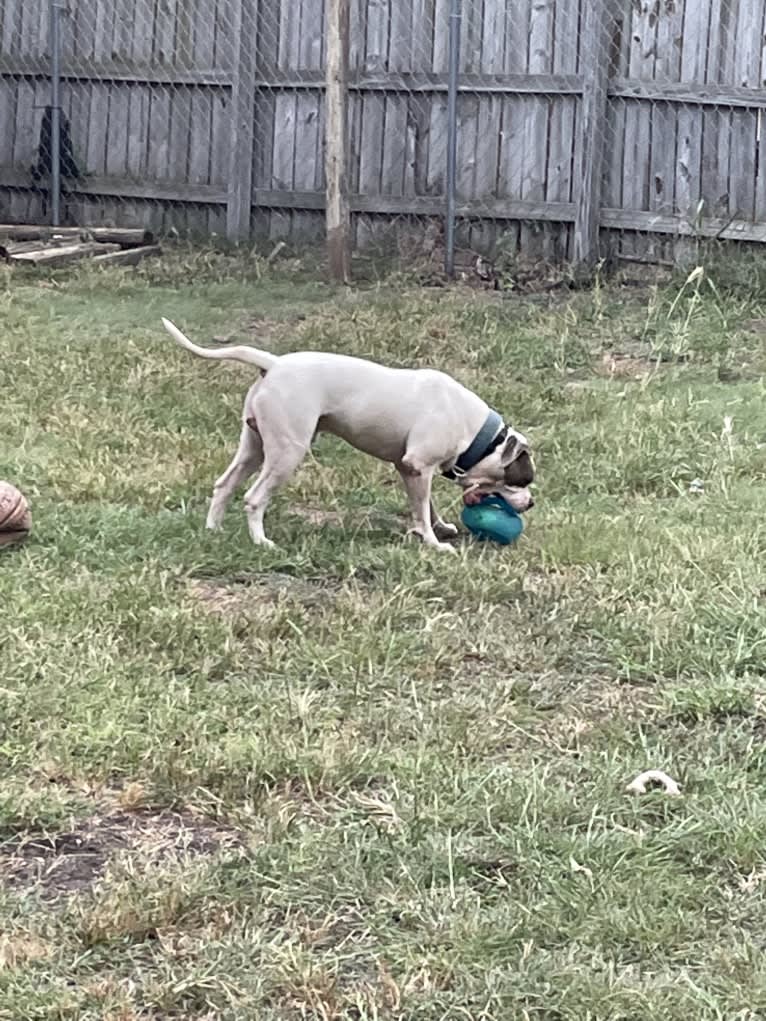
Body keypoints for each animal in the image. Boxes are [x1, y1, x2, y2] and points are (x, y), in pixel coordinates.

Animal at [162, 316, 535, 551]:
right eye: (521, 480)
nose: (531, 503)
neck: (475, 431)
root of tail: (274, 363)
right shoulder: (419, 466)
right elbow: (422, 510)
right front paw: (434, 543)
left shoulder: (410, 469)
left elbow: (425, 506)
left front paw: (438, 527)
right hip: (287, 452)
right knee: (254, 498)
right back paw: (262, 542)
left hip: (254, 447)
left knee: (224, 484)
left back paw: (213, 530)